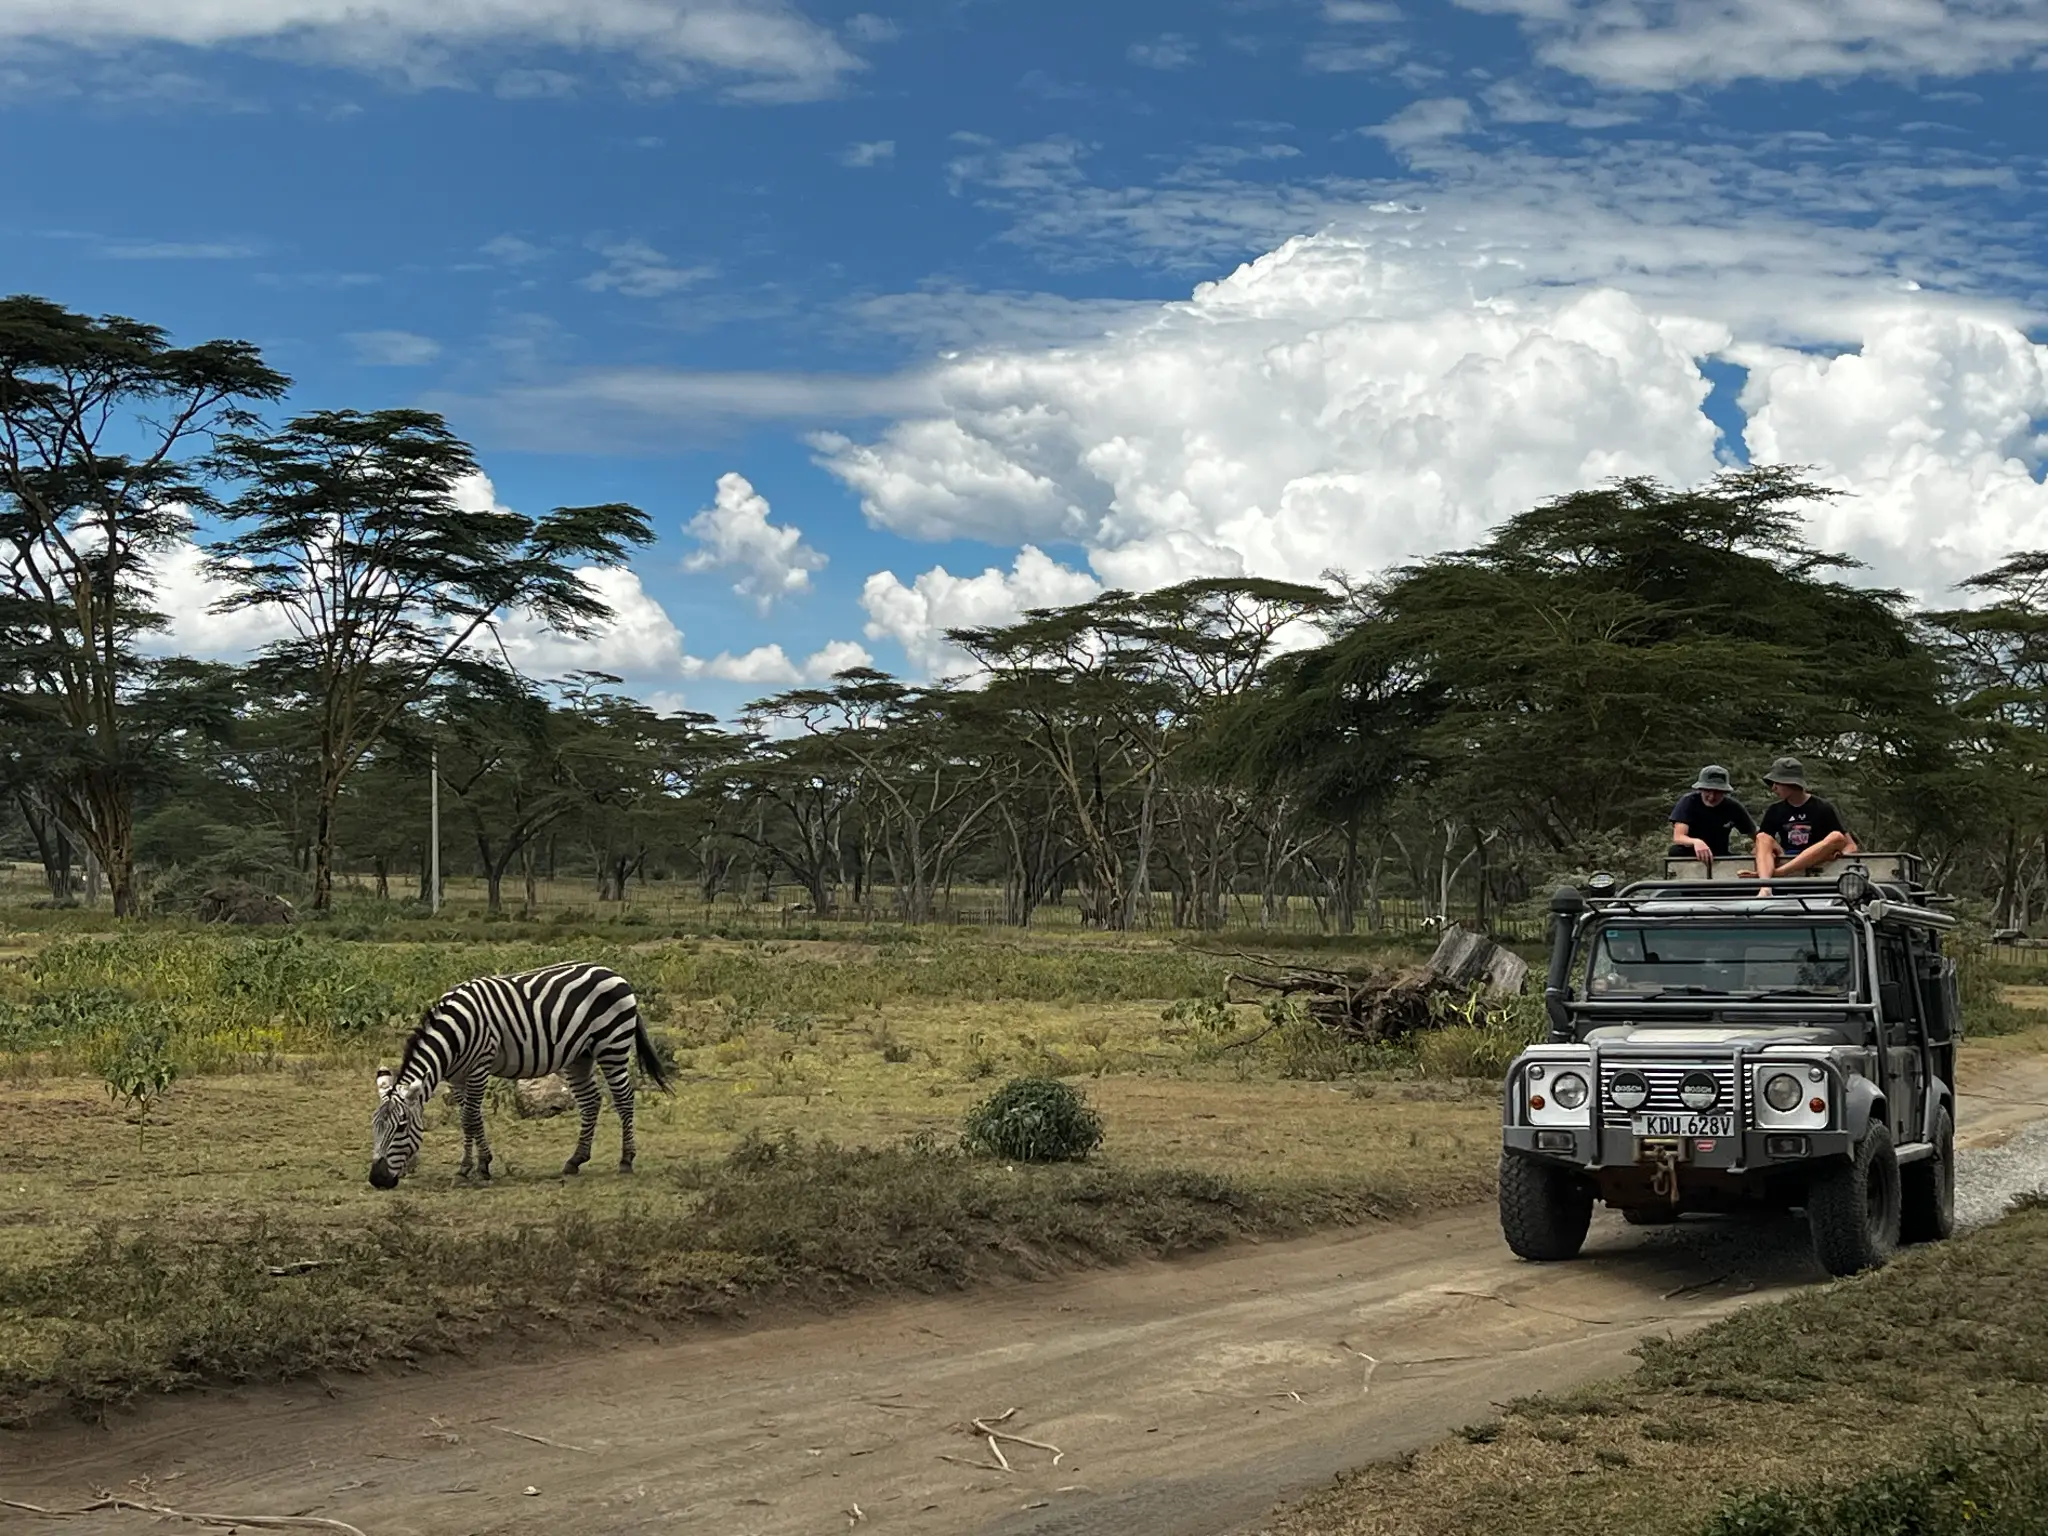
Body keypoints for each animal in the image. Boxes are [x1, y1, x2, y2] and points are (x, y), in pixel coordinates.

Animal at [369, 962, 670, 1188]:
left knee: (623, 1099)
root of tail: (614, 973)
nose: (377, 1180)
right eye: (375, 1127)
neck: (454, 1035)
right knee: (590, 1102)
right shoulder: (457, 1077)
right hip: (580, 1055)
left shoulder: (480, 1065)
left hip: (612, 1044)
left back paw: (626, 1160)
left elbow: (469, 1118)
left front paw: (472, 1168)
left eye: (401, 1127)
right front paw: (476, 1165)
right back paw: (575, 1160)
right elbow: (471, 1118)